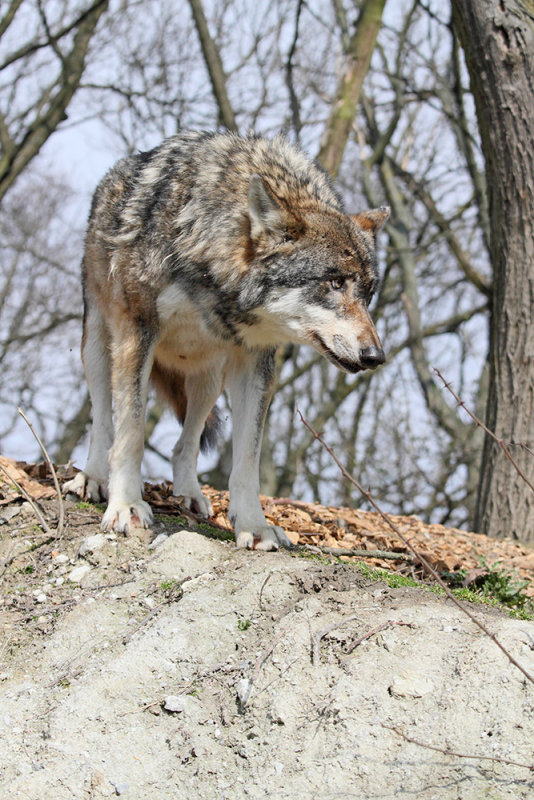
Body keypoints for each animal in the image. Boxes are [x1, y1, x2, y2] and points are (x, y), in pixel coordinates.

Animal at [65, 133, 390, 552]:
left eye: (368, 294)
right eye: (335, 282)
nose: (376, 356)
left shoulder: (256, 362)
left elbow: (247, 460)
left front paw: (254, 525)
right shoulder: (137, 333)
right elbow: (131, 432)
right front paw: (125, 505)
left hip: (208, 378)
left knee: (184, 445)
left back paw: (189, 495)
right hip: (99, 348)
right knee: (104, 422)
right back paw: (93, 478)